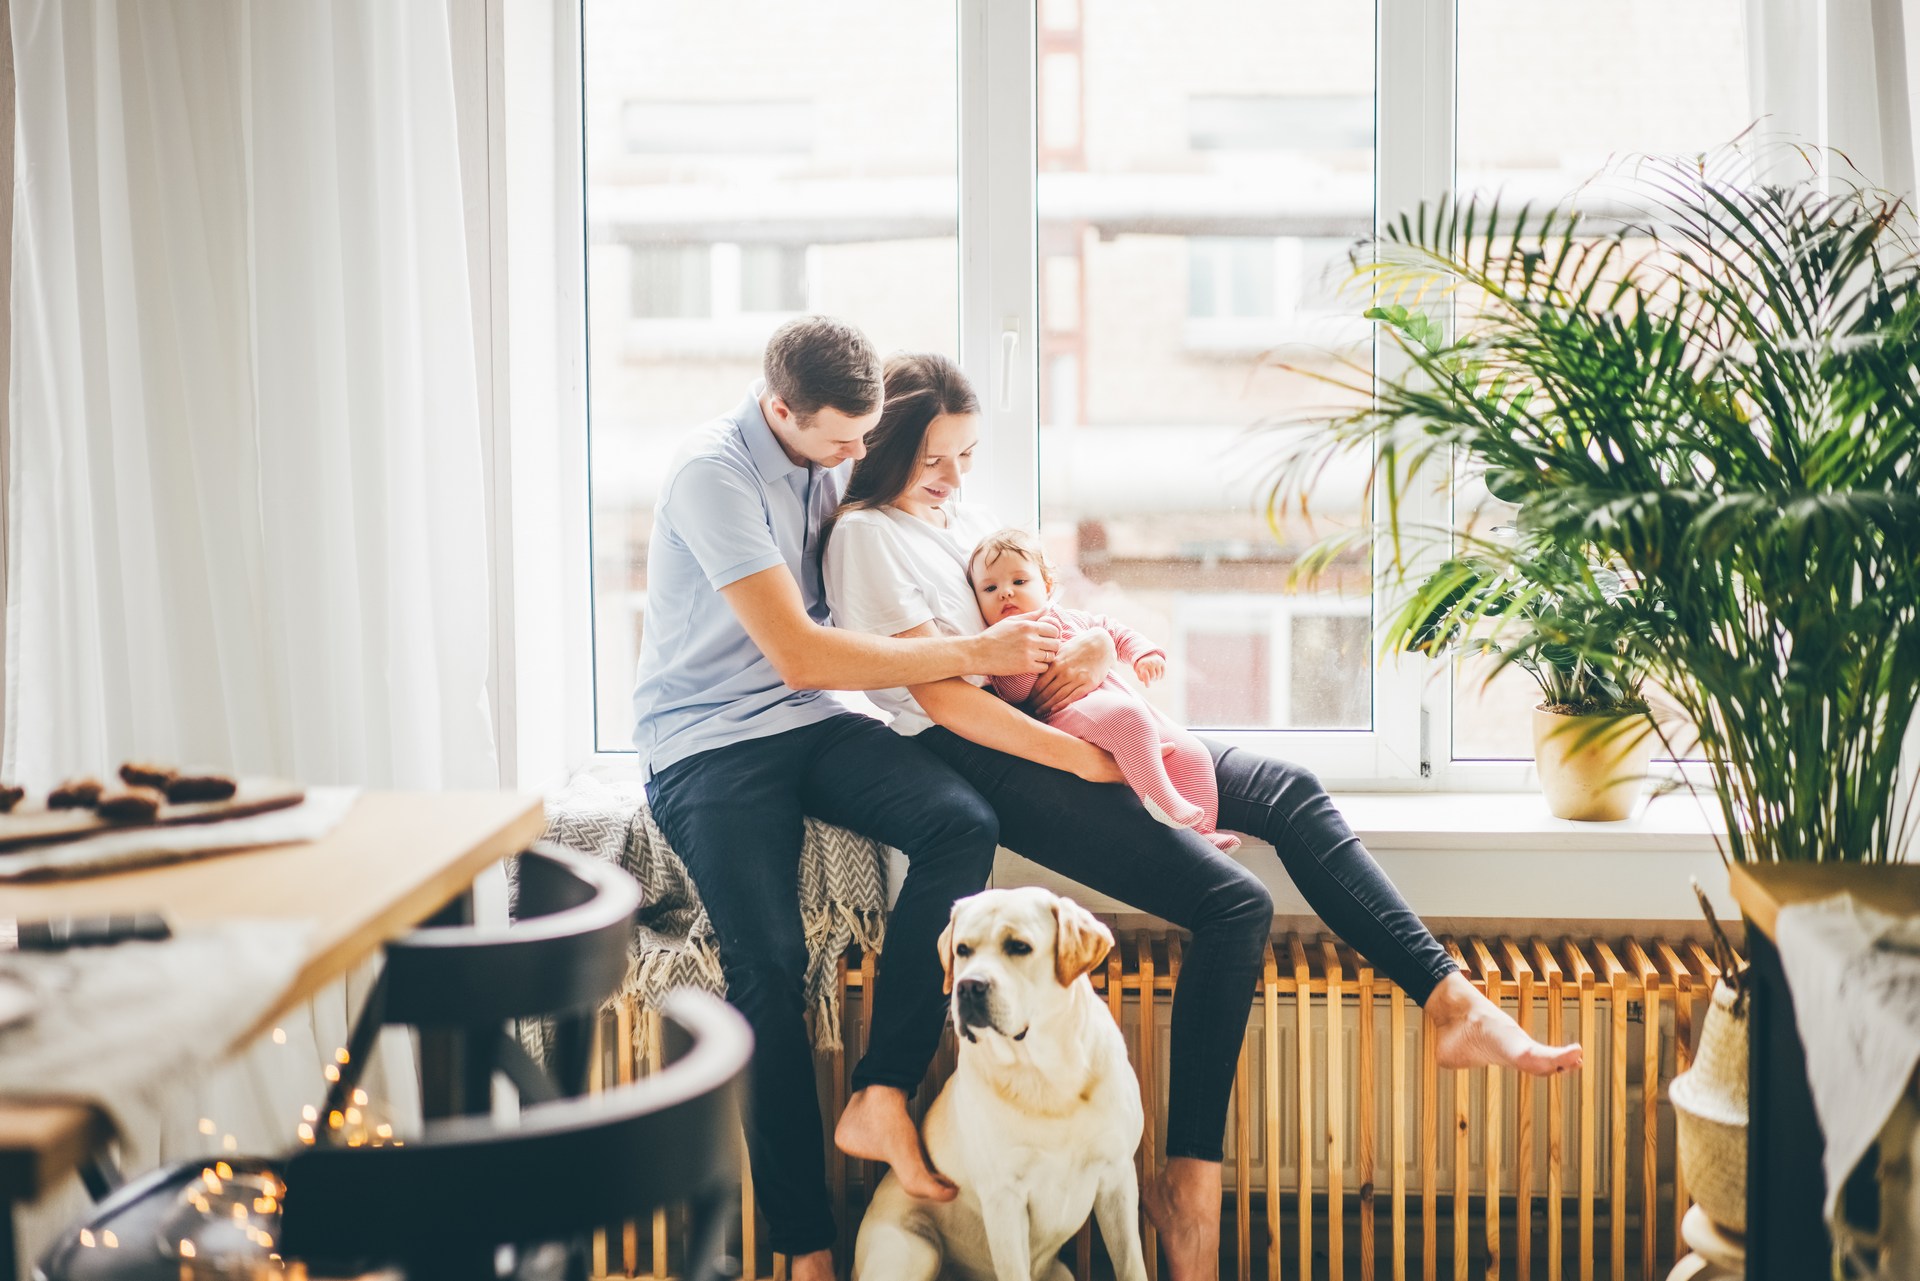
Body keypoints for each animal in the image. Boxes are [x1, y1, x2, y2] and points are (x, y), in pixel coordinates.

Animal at [860, 887, 1152, 1281]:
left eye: (1019, 946)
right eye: (962, 950)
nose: (968, 987)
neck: (1046, 1073)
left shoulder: (1117, 1178)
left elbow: (1132, 1264)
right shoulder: (1004, 1199)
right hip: (915, 1250)